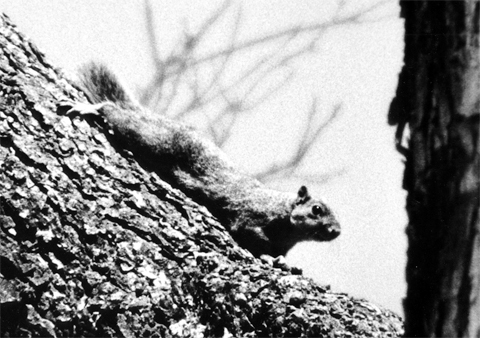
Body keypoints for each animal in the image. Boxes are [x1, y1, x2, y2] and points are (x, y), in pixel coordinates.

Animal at [62, 63, 340, 258]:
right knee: (121, 118)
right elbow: (247, 231)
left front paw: (281, 262)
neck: (287, 222)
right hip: (157, 141)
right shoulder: (251, 214)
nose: (336, 231)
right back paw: (95, 108)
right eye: (316, 209)